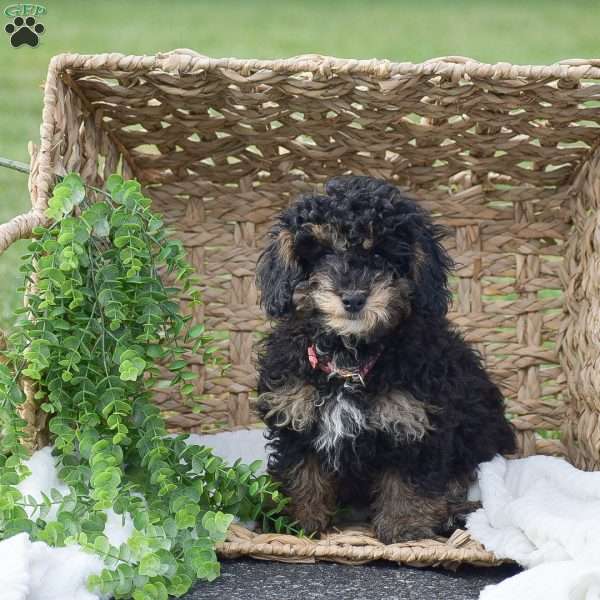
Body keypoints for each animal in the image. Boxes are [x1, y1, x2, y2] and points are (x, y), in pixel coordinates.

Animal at [254, 175, 516, 544]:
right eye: (323, 252)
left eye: (380, 253)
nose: (353, 298)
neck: (349, 356)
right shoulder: (296, 413)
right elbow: (299, 472)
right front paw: (296, 523)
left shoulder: (413, 419)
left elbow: (409, 478)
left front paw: (404, 528)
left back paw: (452, 513)